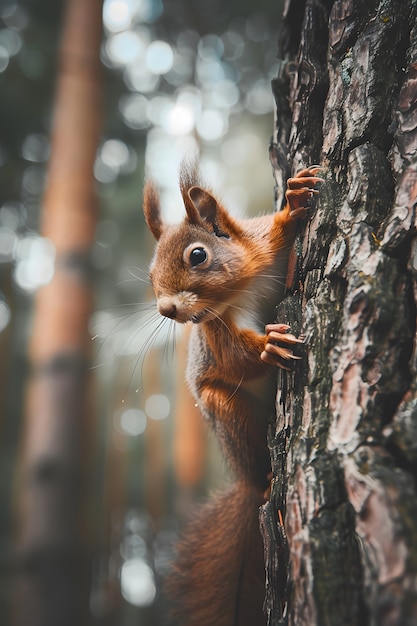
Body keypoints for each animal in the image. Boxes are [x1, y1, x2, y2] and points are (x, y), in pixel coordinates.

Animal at [143, 163, 322, 620]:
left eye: (197, 255)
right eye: (151, 276)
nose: (166, 310)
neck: (241, 287)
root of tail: (243, 482)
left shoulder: (261, 247)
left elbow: (273, 231)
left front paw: (295, 200)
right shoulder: (216, 331)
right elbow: (235, 360)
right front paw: (268, 347)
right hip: (227, 413)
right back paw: (266, 480)